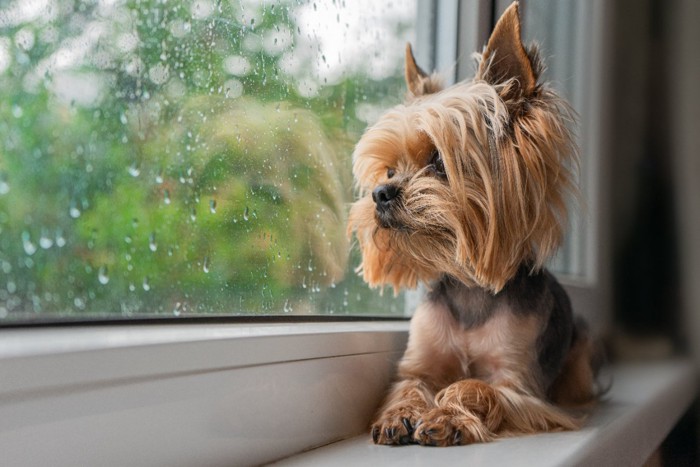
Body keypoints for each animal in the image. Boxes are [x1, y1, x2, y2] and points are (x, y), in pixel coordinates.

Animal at [348, 1, 600, 448]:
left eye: (438, 160)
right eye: (390, 170)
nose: (381, 193)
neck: (469, 288)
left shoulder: (519, 384)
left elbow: (477, 388)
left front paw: (446, 415)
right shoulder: (419, 363)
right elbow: (410, 384)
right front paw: (398, 414)